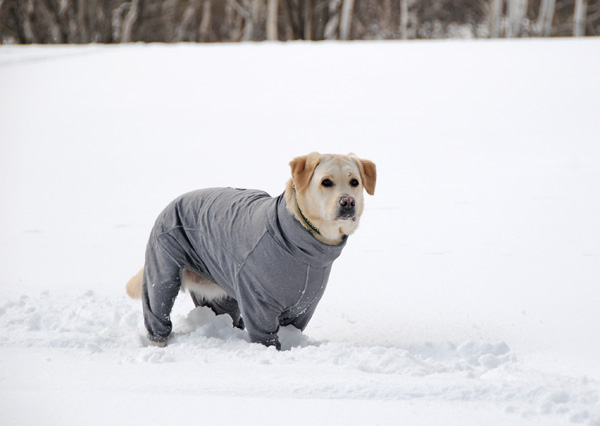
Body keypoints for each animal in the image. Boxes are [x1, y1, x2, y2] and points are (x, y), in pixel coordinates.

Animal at [127, 153, 376, 350]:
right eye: (326, 182)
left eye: (354, 182)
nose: (348, 202)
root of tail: (172, 202)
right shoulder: (257, 303)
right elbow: (266, 337)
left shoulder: (303, 307)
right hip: (163, 276)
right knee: (157, 310)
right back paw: (158, 343)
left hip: (218, 293)